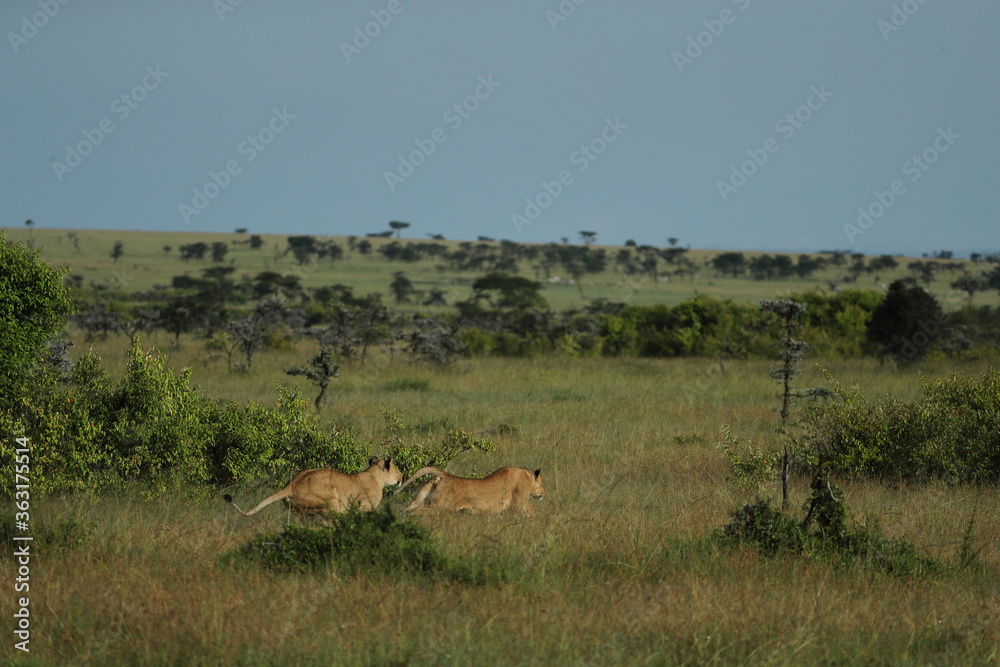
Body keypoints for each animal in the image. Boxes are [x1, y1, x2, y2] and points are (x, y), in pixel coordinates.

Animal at [223, 456, 402, 518]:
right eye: (397, 468)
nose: (401, 477)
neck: (373, 473)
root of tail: (291, 485)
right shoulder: (363, 507)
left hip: (299, 512)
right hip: (332, 500)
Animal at [395, 466, 545, 516]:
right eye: (541, 483)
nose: (544, 493)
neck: (525, 474)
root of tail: (443, 475)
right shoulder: (519, 503)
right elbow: (531, 513)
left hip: (419, 498)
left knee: (406, 509)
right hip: (440, 506)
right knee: (417, 511)